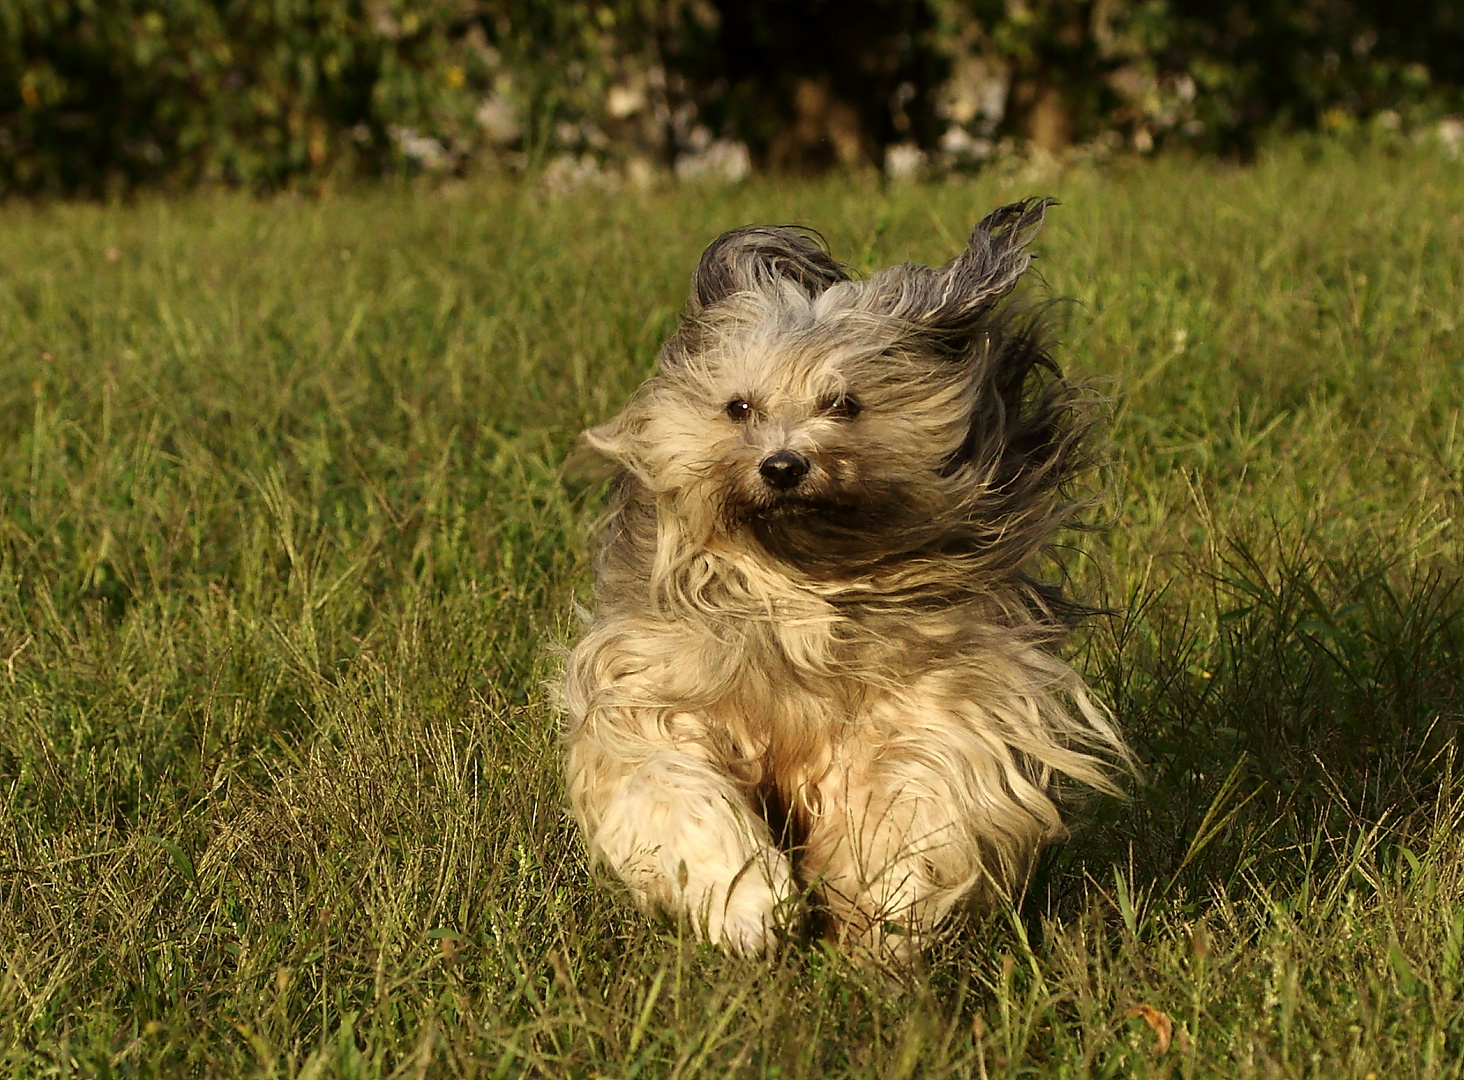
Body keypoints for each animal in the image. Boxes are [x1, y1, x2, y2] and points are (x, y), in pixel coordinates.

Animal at [562, 196, 1130, 960]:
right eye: (739, 407)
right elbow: (674, 788)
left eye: (845, 405)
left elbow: (921, 794)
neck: (803, 585)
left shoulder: (944, 703)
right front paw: (747, 906)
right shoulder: (655, 688)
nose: (782, 466)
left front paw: (887, 917)